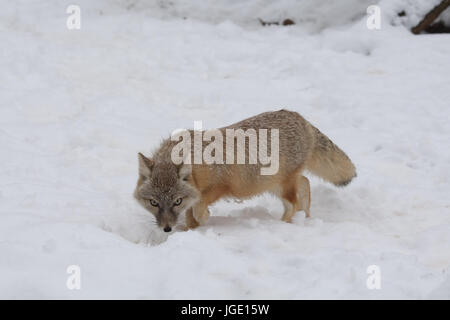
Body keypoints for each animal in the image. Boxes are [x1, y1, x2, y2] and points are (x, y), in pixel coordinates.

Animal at [134, 110, 356, 232]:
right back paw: (305, 218)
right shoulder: (195, 195)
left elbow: (198, 210)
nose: (166, 229)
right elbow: (191, 215)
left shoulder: (218, 186)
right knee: (305, 184)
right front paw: (190, 230)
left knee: (293, 203)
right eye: (153, 203)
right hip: (274, 184)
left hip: (281, 186)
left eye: (176, 201)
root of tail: (299, 117)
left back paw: (283, 225)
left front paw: (203, 219)